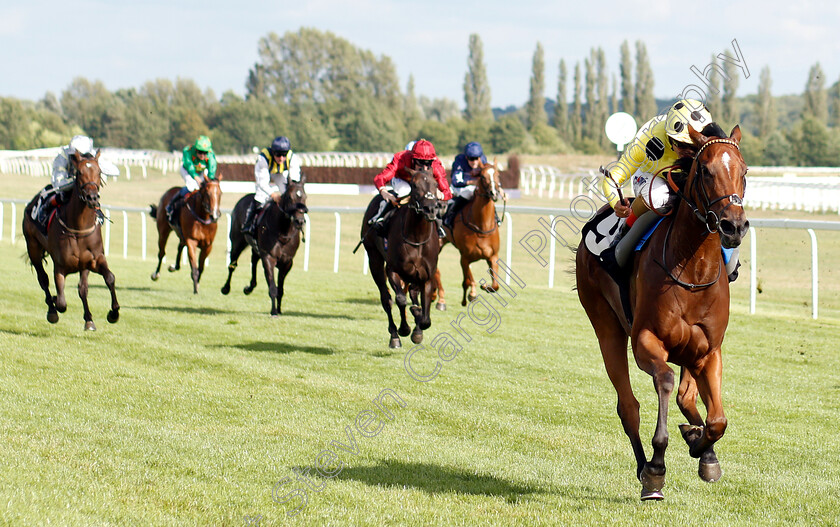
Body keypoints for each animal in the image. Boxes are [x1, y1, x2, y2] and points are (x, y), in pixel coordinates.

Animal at [22, 151, 120, 330]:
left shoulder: (93, 261)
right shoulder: (60, 267)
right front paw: (54, 302)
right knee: (43, 279)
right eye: (79, 172)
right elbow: (61, 303)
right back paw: (51, 309)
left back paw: (88, 318)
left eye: (99, 172)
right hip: (33, 248)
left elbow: (108, 279)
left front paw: (112, 314)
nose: (92, 197)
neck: (79, 227)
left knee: (82, 288)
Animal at [220, 177, 308, 318]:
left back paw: (249, 287)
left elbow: (280, 289)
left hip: (256, 248)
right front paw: (274, 311)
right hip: (237, 242)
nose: (299, 221)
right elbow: (273, 287)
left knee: (254, 261)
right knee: (232, 265)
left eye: (305, 196)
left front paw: (279, 310)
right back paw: (226, 288)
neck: (283, 231)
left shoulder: (287, 262)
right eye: (289, 197)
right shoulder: (268, 257)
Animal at [360, 170, 440, 350]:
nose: (431, 209)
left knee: (412, 295)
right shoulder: (392, 270)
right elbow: (400, 300)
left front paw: (418, 327)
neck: (417, 238)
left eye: (435, 184)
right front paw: (404, 328)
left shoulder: (426, 276)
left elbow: (425, 318)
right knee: (387, 299)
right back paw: (395, 336)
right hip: (374, 259)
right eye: (415, 185)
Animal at [436, 161, 502, 310]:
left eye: (497, 174)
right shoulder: (464, 257)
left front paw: (483, 287)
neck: (482, 226)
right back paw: (440, 300)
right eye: (482, 176)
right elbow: (465, 281)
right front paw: (465, 299)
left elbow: (495, 285)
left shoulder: (492, 256)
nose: (494, 193)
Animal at [576, 125, 748, 504]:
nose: (734, 226)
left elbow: (718, 419)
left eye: (744, 172)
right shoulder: (646, 340)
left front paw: (703, 449)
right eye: (705, 171)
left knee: (688, 398)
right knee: (629, 406)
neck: (694, 272)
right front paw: (657, 467)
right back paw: (645, 471)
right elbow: (665, 382)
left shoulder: (708, 351)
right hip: (607, 329)